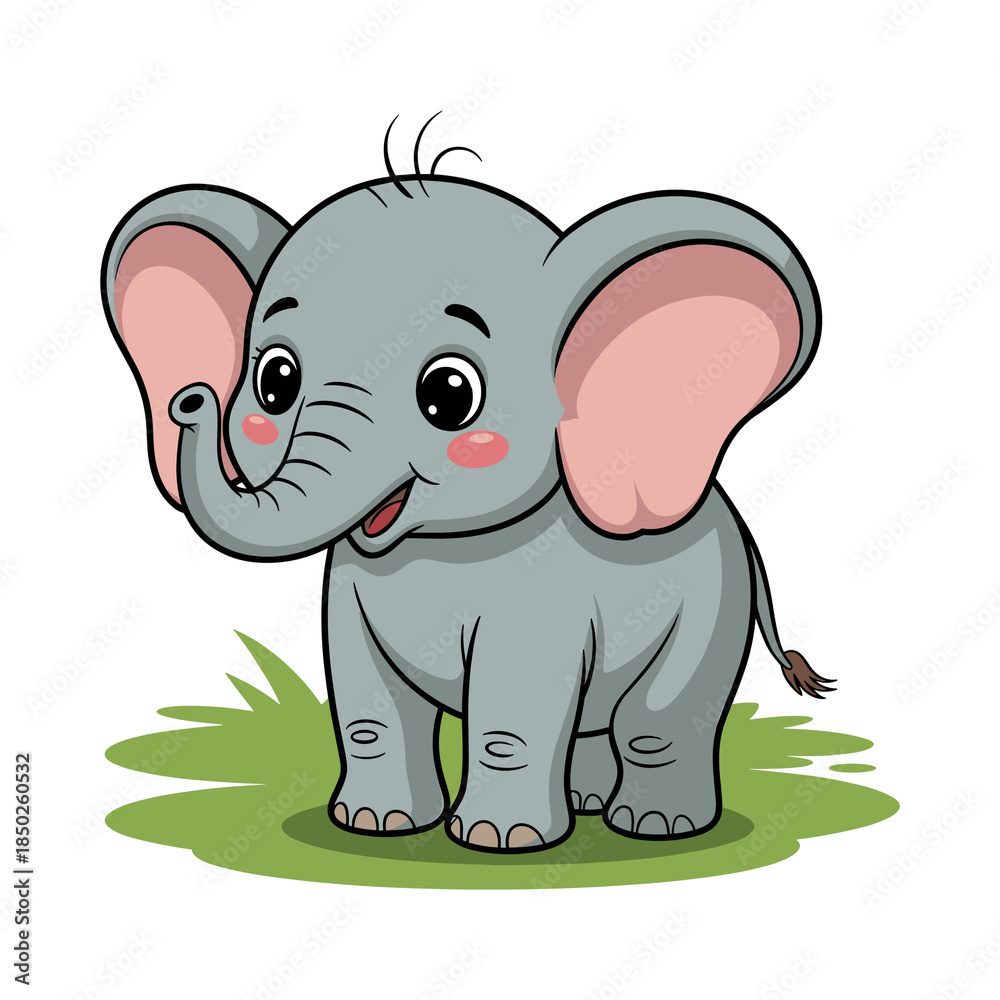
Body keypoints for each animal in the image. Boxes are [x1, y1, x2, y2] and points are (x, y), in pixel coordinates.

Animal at [101, 138, 834, 853]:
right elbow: (368, 705)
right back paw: (587, 805)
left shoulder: (541, 599)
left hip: (714, 609)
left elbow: (513, 706)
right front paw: (374, 824)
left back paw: (655, 826)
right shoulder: (350, 589)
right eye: (275, 382)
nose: (193, 399)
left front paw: (497, 841)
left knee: (656, 719)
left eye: (449, 394)